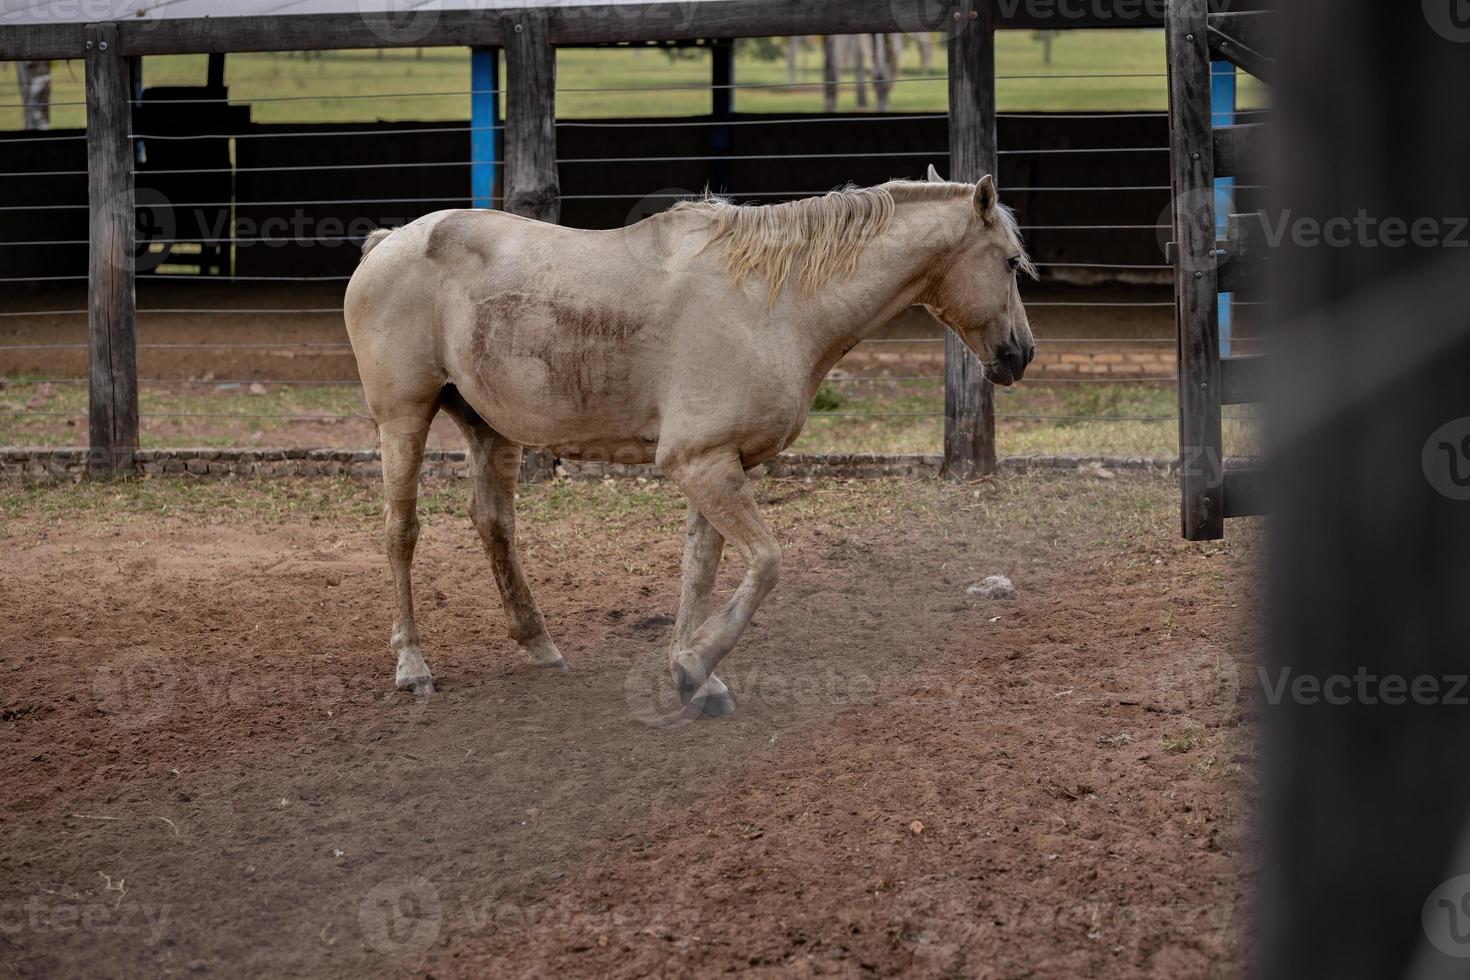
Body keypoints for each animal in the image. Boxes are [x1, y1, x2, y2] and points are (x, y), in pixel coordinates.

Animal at [342, 164, 1034, 717]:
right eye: (1008, 261)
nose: (1020, 355)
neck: (770, 305)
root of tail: (387, 244)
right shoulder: (700, 465)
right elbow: (765, 563)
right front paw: (696, 664)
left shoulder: (721, 465)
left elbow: (700, 568)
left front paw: (695, 675)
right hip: (403, 419)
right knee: (401, 532)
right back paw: (413, 666)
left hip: (488, 429)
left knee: (493, 524)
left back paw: (540, 644)